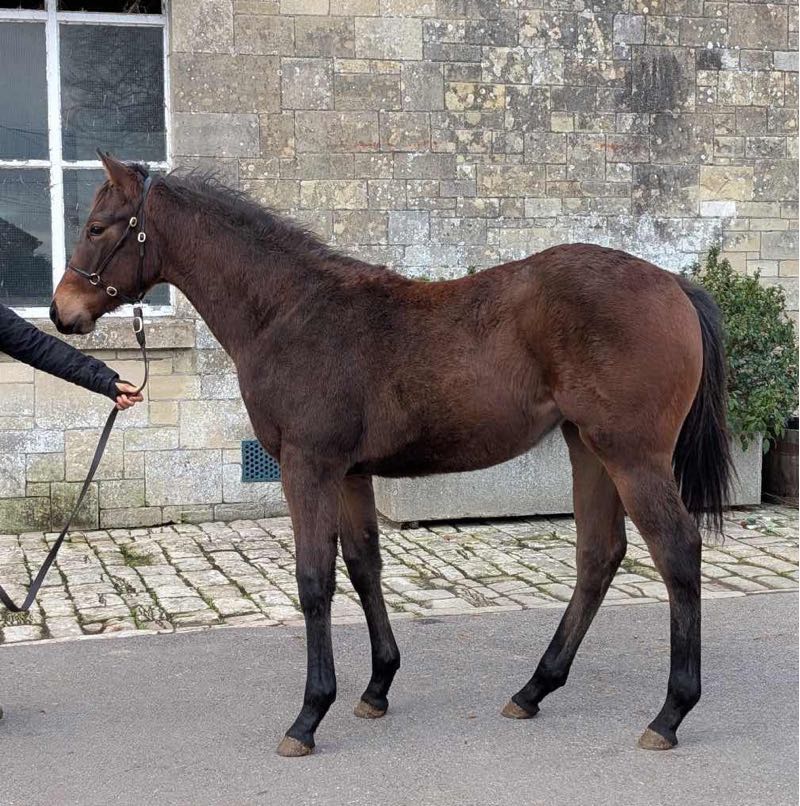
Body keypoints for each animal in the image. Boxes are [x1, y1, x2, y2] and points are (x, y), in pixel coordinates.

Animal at [51, 153, 733, 757]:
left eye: (97, 227)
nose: (62, 312)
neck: (290, 312)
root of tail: (674, 283)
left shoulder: (308, 467)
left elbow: (314, 580)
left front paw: (309, 715)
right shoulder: (350, 474)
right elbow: (363, 567)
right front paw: (376, 687)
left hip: (631, 456)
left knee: (677, 551)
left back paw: (670, 713)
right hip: (587, 448)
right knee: (599, 555)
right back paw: (534, 689)